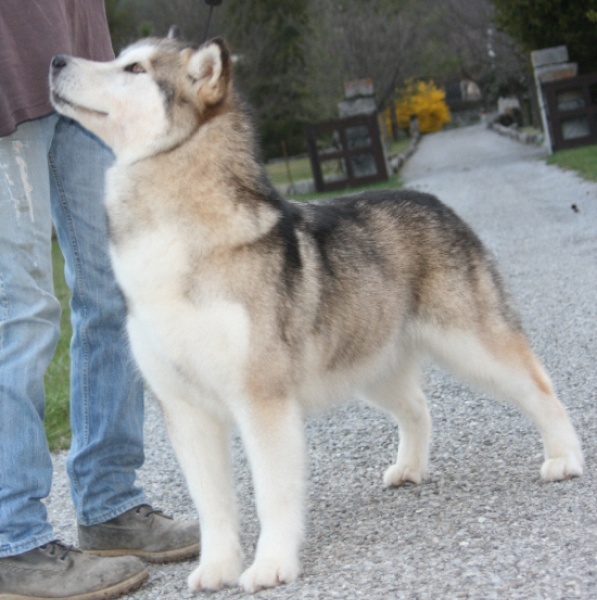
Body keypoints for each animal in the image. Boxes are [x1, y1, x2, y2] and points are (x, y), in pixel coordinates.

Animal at [50, 35, 584, 592]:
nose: (56, 61)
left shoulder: (263, 400)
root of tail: (434, 201)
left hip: (473, 346)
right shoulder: (185, 408)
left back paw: (564, 457)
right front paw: (217, 568)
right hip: (370, 365)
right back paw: (410, 467)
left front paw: (271, 564)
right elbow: (213, 505)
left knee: (540, 388)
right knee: (417, 406)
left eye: (134, 68)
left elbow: (272, 494)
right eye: (121, 59)